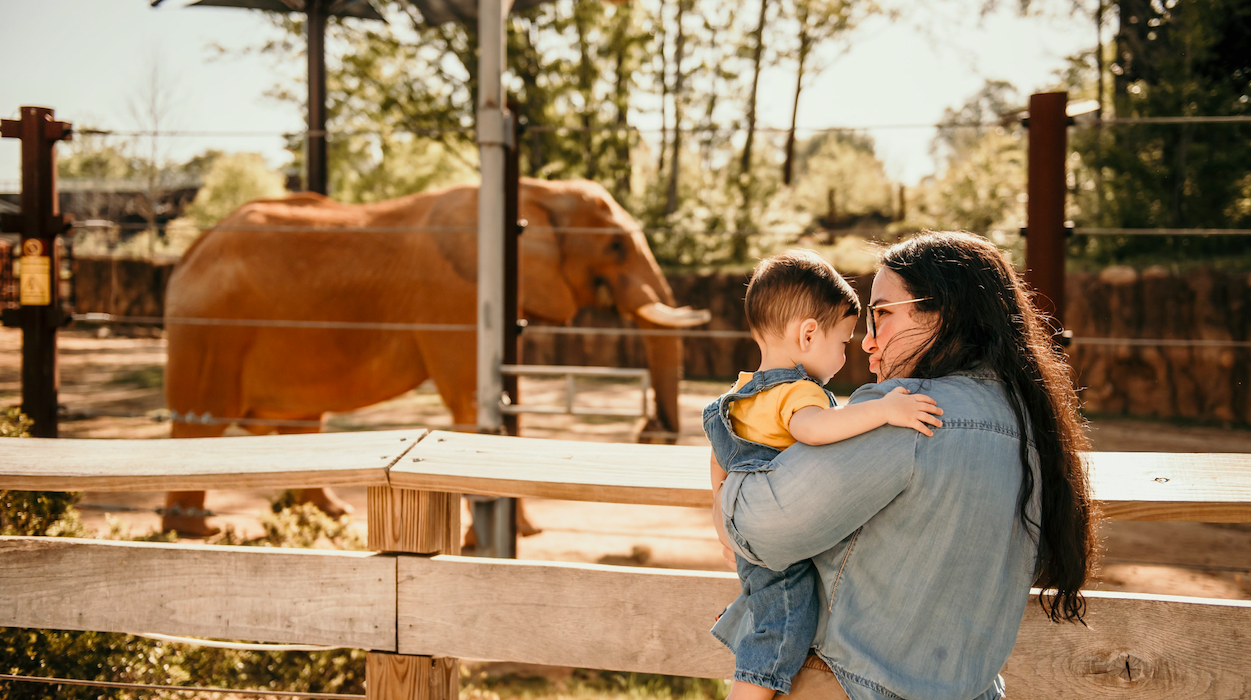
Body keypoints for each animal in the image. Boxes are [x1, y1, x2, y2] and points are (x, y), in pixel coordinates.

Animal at [161, 178, 710, 535]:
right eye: (615, 246)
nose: (650, 430)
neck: (536, 189)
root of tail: (188, 254)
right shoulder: (457, 295)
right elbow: (469, 403)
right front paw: (516, 534)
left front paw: (522, 534)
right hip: (210, 332)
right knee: (199, 424)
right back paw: (198, 534)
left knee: (297, 425)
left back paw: (330, 517)